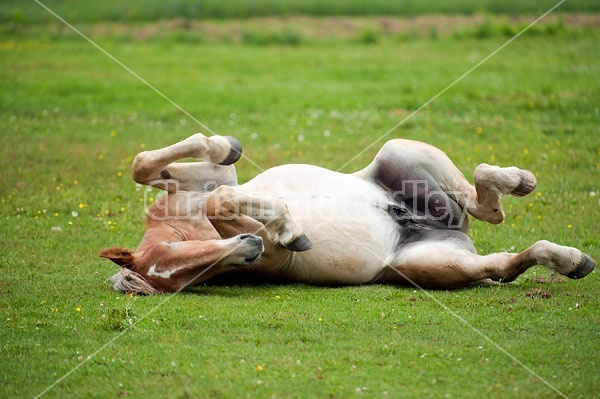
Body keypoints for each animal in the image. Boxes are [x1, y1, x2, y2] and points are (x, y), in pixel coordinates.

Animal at [99, 134, 596, 294]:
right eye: (187, 280)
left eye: (178, 251)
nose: (251, 247)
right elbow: (221, 203)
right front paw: (291, 231)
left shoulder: (210, 181)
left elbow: (148, 165)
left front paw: (225, 144)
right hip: (438, 265)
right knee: (503, 260)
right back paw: (572, 260)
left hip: (403, 151)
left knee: (485, 204)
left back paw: (517, 179)